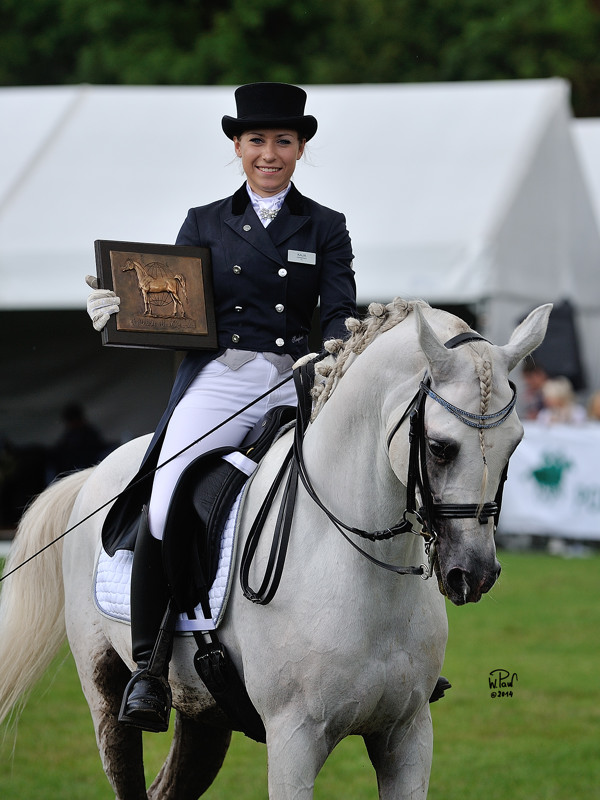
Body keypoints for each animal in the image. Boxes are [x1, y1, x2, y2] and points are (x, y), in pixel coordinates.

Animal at [0, 300, 548, 800]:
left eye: (516, 443)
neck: (360, 571)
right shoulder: (294, 740)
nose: (474, 574)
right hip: (105, 688)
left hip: (203, 713)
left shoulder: (408, 736)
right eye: (439, 447)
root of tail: (96, 472)